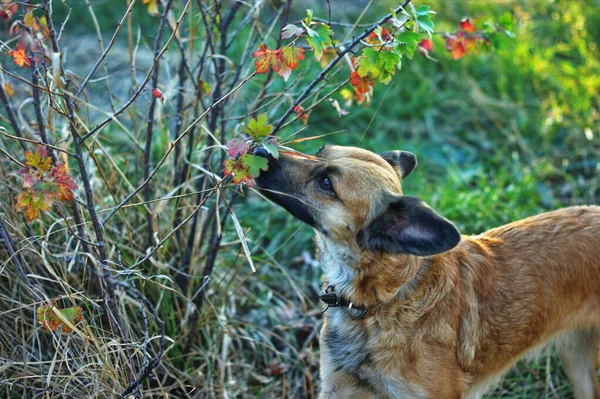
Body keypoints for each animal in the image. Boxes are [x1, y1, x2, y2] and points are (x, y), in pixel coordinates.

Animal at [252, 145, 600, 399]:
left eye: (326, 183)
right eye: (319, 151)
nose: (258, 150)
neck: (383, 300)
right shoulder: (338, 388)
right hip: (577, 361)